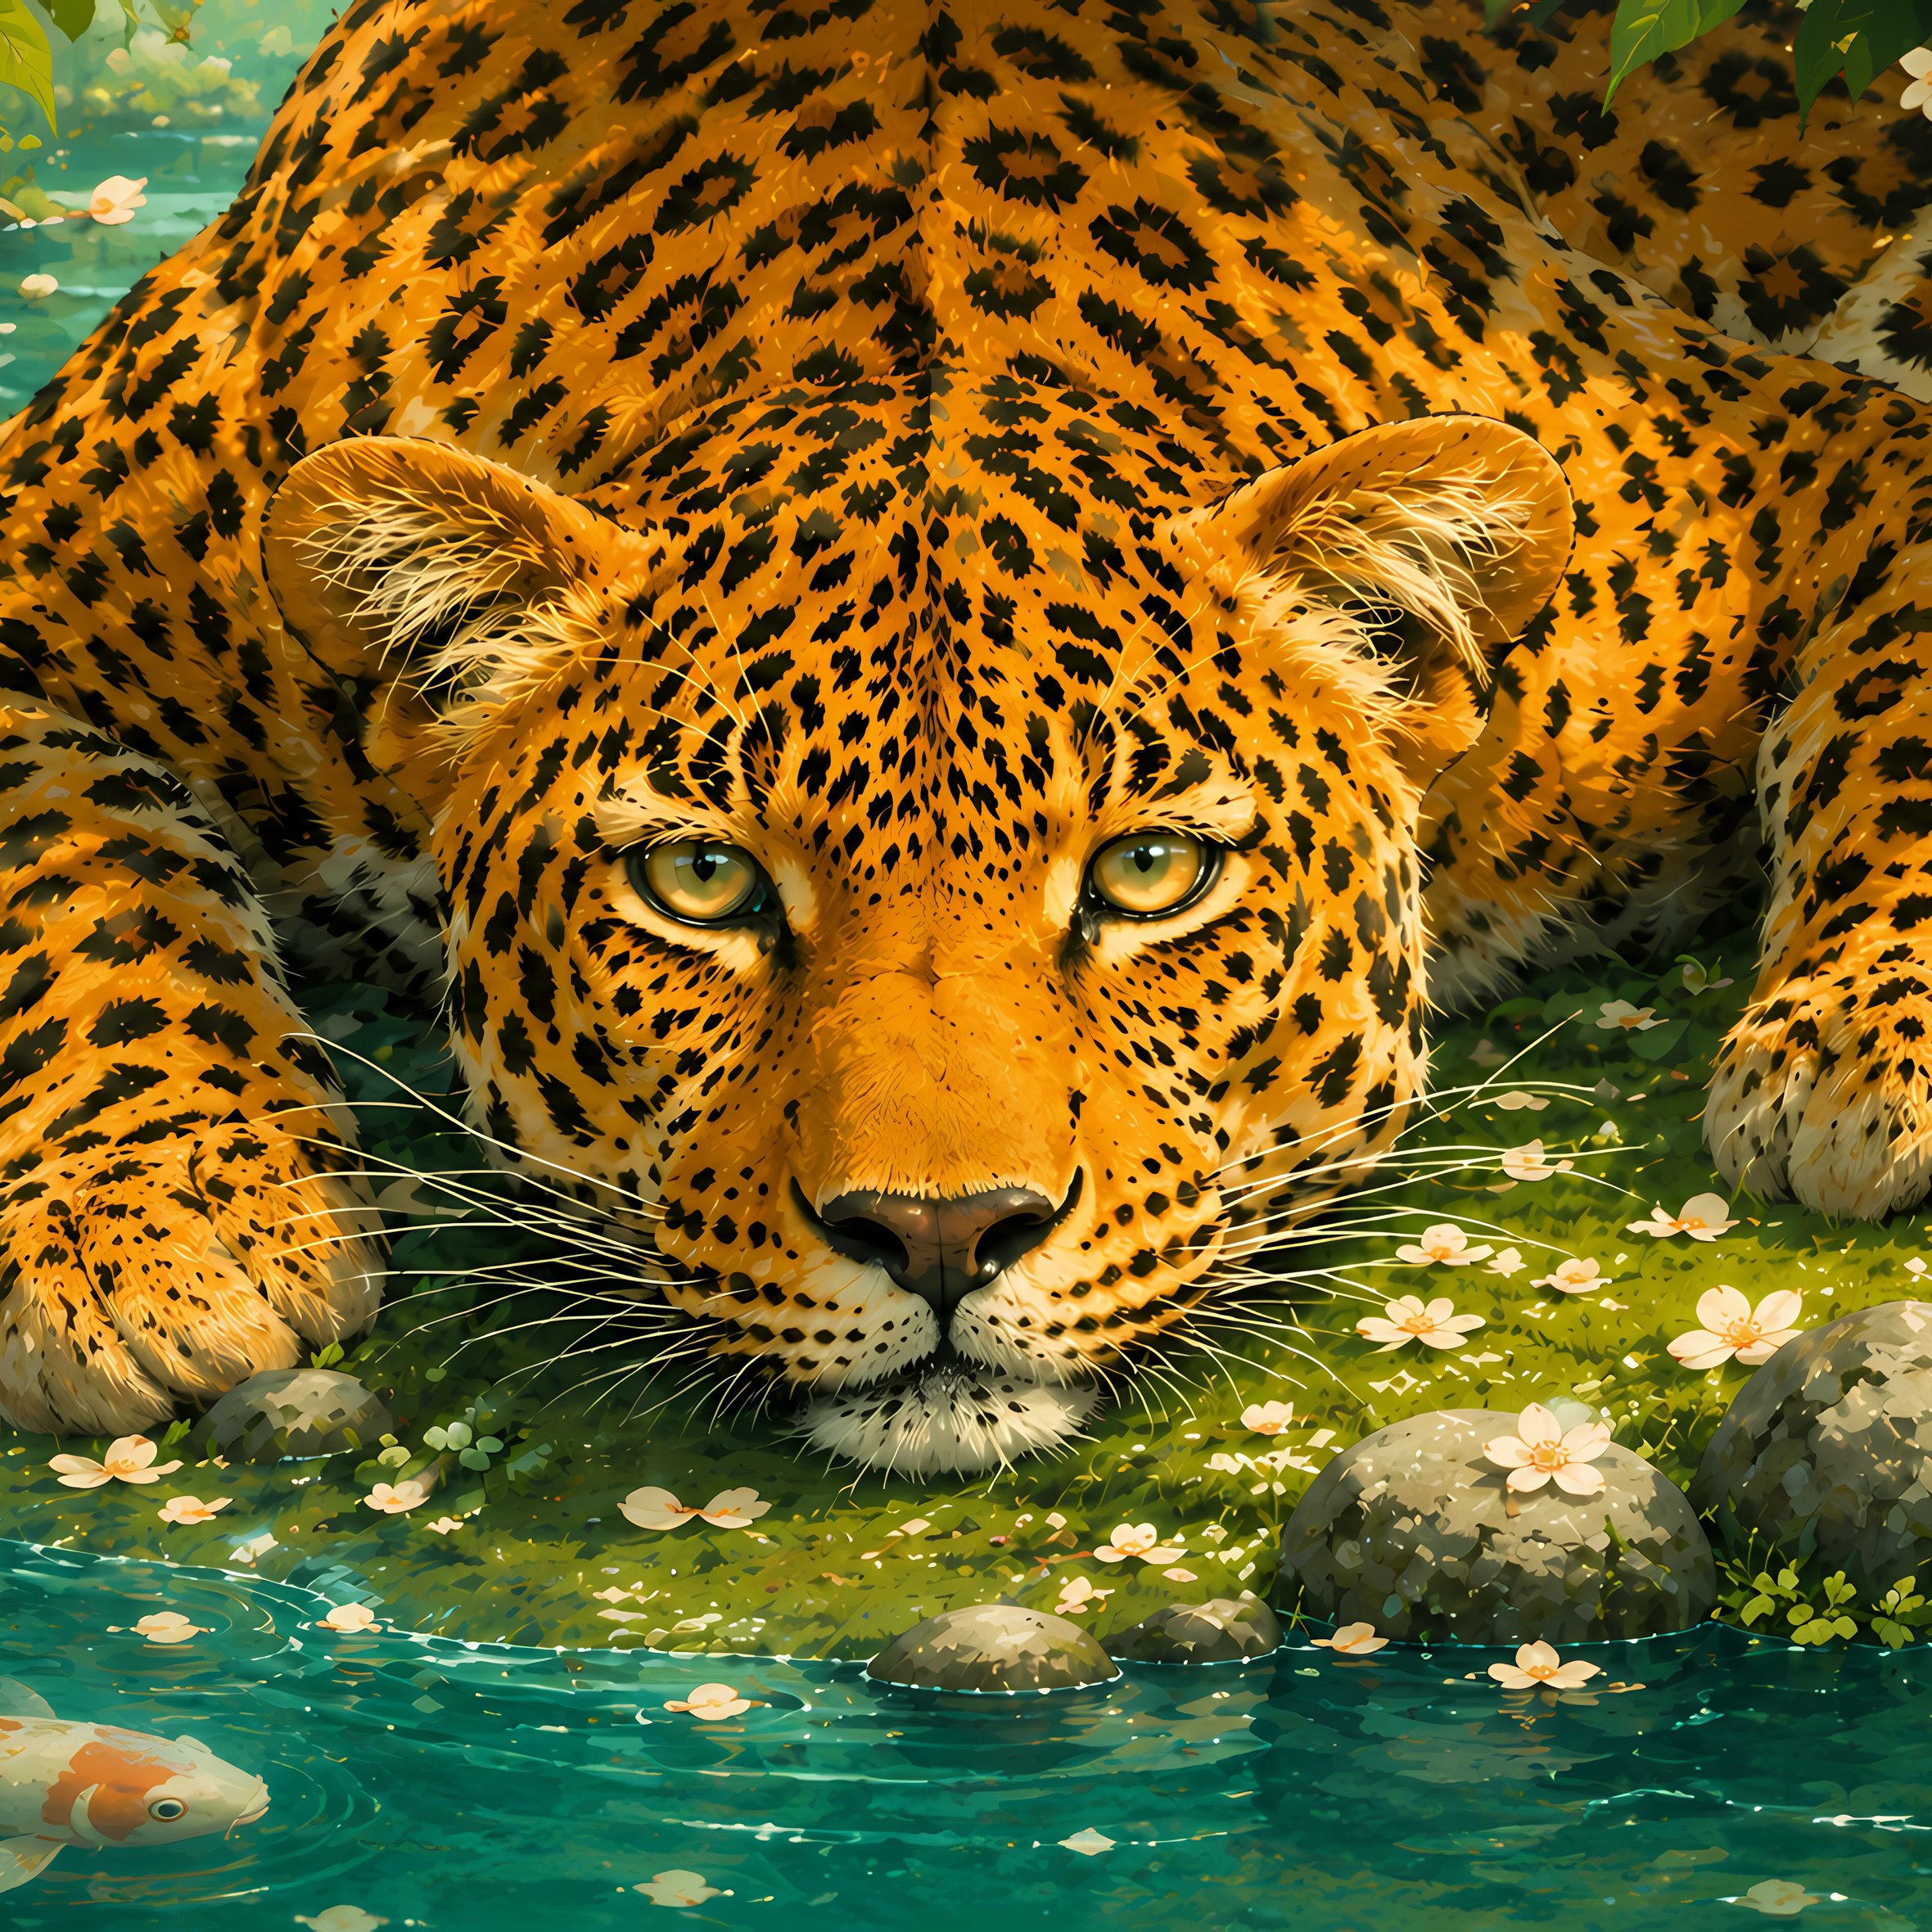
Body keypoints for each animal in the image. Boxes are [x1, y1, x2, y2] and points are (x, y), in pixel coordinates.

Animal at [1, 0, 1930, 1474]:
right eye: (701, 883)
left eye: (1149, 872)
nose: (940, 1233)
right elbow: (79, 881)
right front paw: (162, 1228)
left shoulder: (1796, 457)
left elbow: (1894, 694)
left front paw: (1870, 1060)